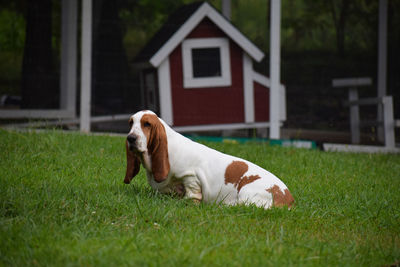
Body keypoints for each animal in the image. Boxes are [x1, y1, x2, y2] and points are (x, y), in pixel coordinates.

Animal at [124, 110, 294, 209]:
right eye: (131, 123)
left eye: (147, 124)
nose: (130, 138)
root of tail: (288, 198)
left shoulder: (191, 177)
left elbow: (192, 193)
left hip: (247, 191)